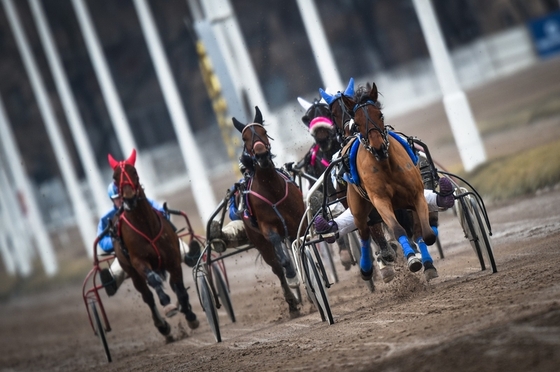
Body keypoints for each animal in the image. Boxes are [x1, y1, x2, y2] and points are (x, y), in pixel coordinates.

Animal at [107, 150, 199, 338]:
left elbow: (179, 286)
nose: (129, 199)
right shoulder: (138, 261)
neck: (146, 225)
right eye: (114, 176)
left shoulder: (172, 258)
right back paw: (162, 324)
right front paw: (167, 304)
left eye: (134, 172)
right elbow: (153, 280)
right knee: (147, 295)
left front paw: (190, 314)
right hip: (131, 272)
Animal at [231, 106, 304, 318]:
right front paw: (293, 277)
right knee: (277, 267)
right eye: (244, 138)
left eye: (263, 132)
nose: (262, 155)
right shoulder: (268, 227)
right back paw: (292, 303)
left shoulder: (298, 221)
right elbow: (283, 260)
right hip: (259, 243)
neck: (272, 190)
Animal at [340, 81, 440, 280]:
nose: (378, 148)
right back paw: (368, 268)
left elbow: (426, 234)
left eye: (379, 115)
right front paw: (411, 258)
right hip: (358, 208)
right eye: (358, 123)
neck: (386, 165)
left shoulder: (417, 195)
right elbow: (397, 229)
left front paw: (423, 257)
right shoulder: (380, 200)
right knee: (364, 233)